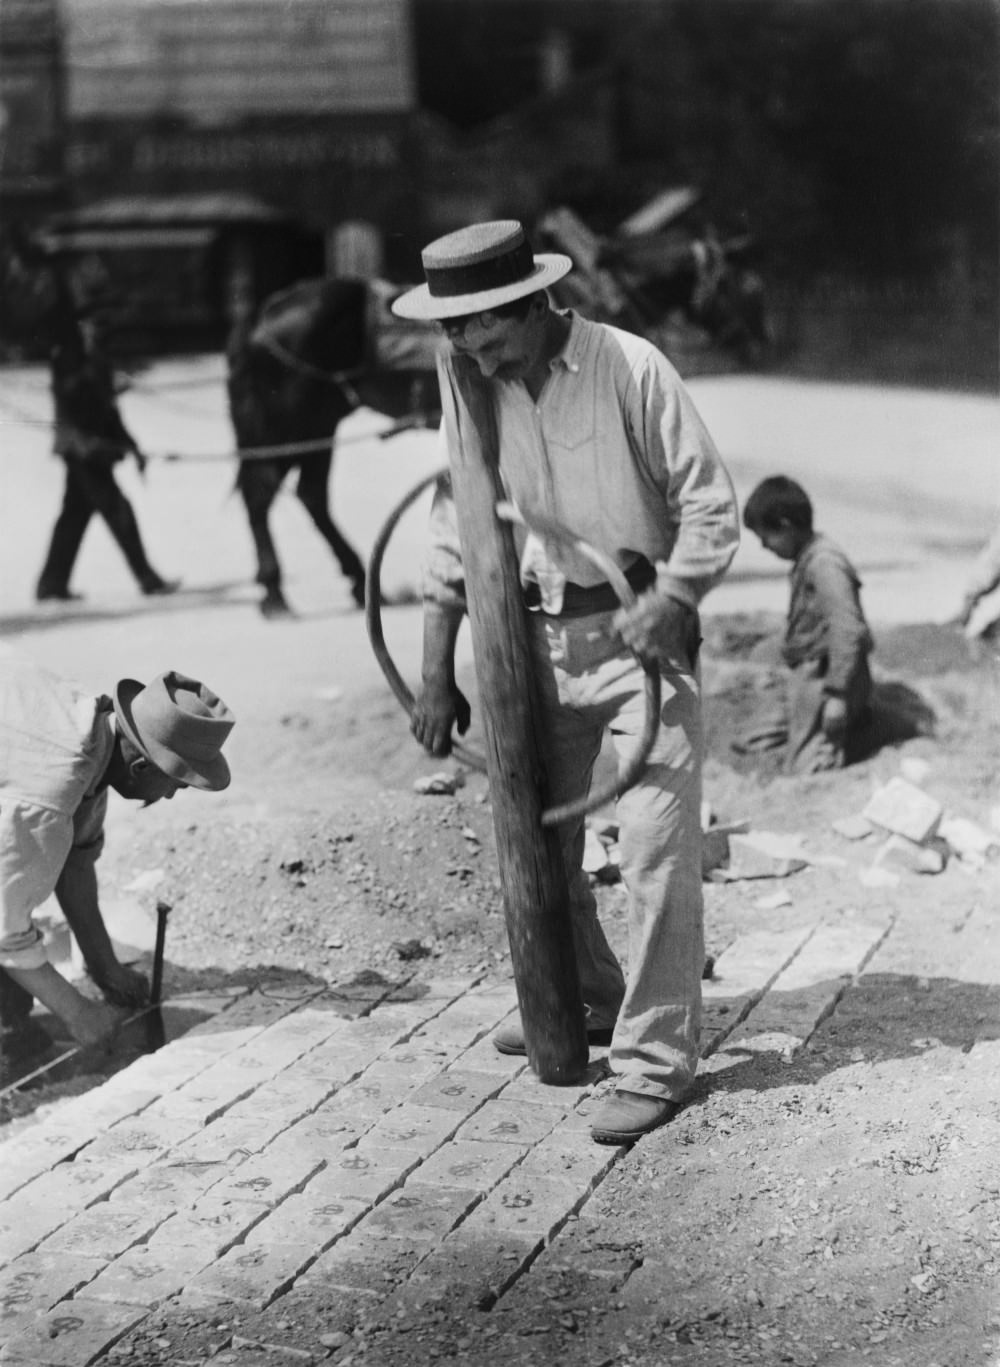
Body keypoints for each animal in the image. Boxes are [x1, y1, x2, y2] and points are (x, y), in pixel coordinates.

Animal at [230, 274, 442, 617]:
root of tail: (264, 317)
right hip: (290, 427)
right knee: (263, 492)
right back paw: (276, 593)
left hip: (317, 426)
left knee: (308, 495)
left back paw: (355, 580)